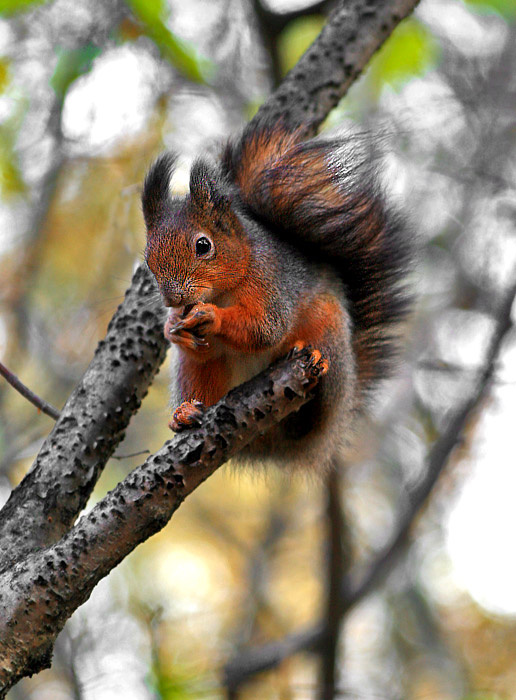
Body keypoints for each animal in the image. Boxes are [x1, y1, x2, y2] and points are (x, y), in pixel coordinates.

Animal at [142, 118, 412, 470]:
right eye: (148, 258)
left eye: (203, 245)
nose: (173, 299)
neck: (225, 290)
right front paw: (173, 329)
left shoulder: (272, 283)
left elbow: (264, 328)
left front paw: (211, 317)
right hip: (195, 373)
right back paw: (185, 412)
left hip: (330, 334)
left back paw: (312, 363)